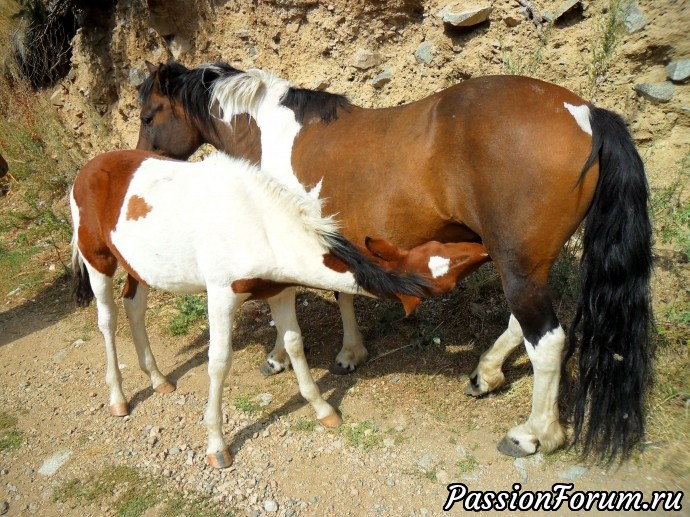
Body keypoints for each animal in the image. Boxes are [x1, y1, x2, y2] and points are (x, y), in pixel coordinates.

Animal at [70, 149, 424, 468]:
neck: (257, 224)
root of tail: (87, 170)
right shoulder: (220, 297)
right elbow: (219, 362)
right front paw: (216, 445)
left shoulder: (281, 292)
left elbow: (294, 344)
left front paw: (323, 409)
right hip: (98, 261)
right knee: (107, 320)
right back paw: (118, 398)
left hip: (138, 268)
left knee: (134, 306)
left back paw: (158, 379)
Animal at [136, 61, 652, 464]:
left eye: (147, 114)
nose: (139, 162)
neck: (272, 135)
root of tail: (586, 113)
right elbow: (337, 293)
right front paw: (343, 353)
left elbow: (295, 299)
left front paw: (293, 355)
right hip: (524, 264)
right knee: (523, 327)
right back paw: (484, 375)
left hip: (519, 266)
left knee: (547, 341)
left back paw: (534, 435)